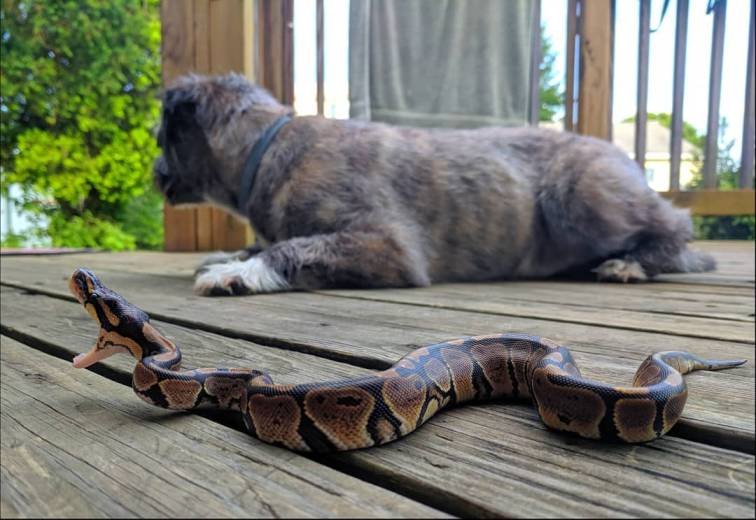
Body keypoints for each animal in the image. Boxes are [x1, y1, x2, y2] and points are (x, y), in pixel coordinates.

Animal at [155, 72, 716, 296]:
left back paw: (635, 262)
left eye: (162, 138)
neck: (267, 147)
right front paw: (234, 256)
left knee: (677, 224)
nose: (155, 174)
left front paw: (240, 272)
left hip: (579, 192)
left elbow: (293, 247)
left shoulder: (390, 246)